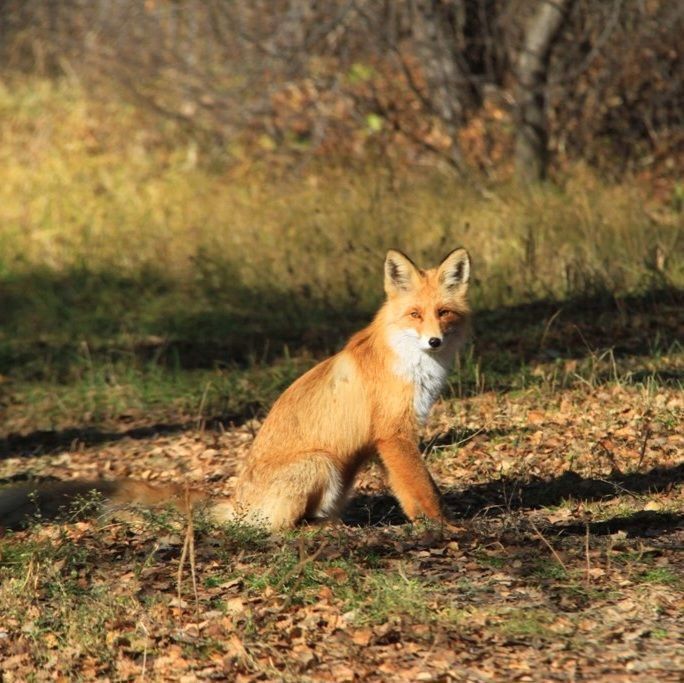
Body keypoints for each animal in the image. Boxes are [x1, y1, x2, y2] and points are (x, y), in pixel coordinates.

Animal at [0, 248, 470, 532]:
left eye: (444, 313)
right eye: (415, 314)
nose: (434, 342)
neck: (411, 364)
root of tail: (237, 501)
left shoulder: (385, 442)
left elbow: (410, 488)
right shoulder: (394, 434)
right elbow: (422, 488)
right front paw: (442, 525)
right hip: (320, 463)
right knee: (276, 528)